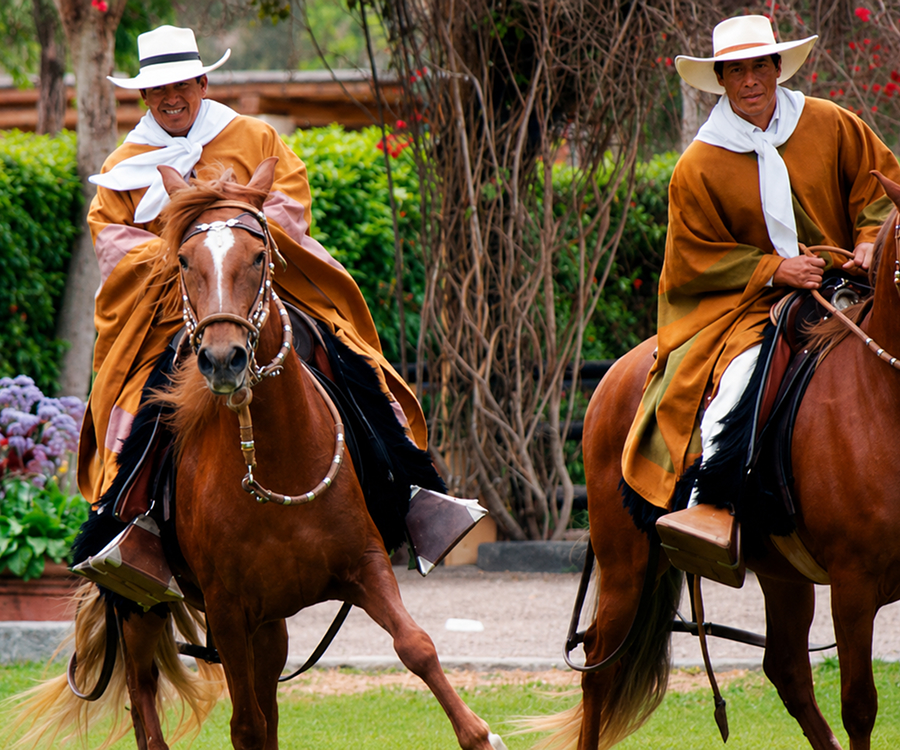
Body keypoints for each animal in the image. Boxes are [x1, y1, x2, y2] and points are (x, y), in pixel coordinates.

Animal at [5, 158, 506, 750]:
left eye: (259, 255)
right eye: (184, 261)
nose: (224, 359)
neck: (275, 462)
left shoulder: (365, 565)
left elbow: (418, 647)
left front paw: (480, 734)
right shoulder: (227, 608)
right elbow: (243, 724)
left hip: (271, 624)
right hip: (144, 606)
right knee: (144, 696)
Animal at [530, 171, 900, 750]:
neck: (881, 397)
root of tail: (616, 373)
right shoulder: (854, 586)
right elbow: (860, 709)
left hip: (781, 568)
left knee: (787, 669)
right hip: (625, 563)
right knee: (599, 667)